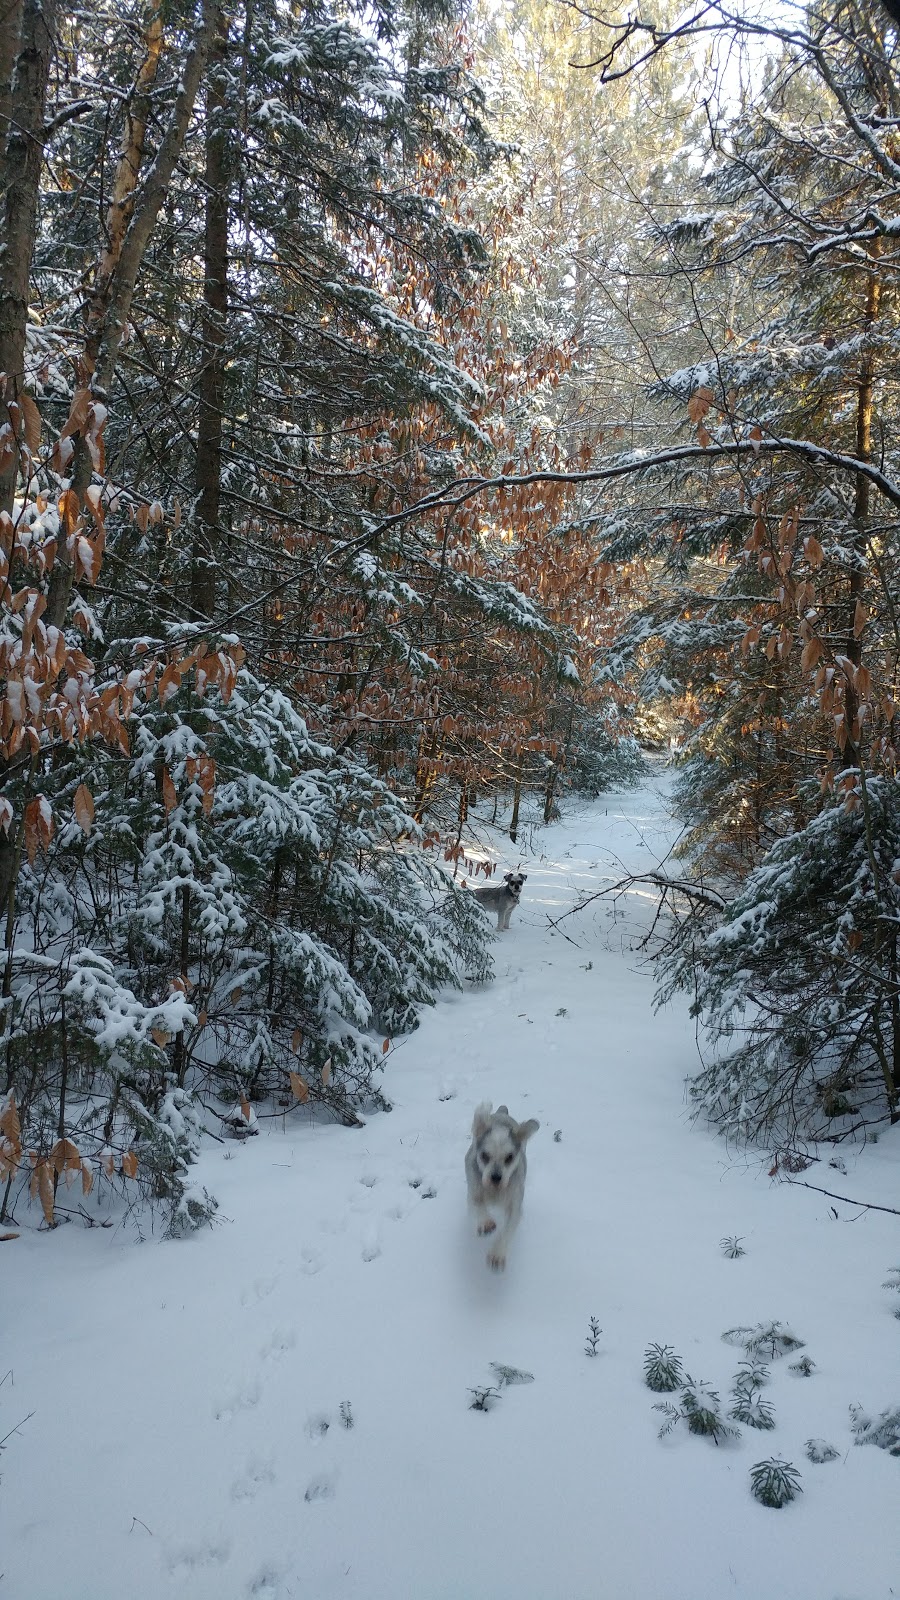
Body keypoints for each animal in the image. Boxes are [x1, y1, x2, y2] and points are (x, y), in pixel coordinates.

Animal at [464, 1107, 534, 1267]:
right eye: (484, 1155)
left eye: (509, 1157)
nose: (496, 1177)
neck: (495, 1191)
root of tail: (502, 1113)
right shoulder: (473, 1190)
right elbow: (478, 1203)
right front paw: (486, 1222)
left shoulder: (514, 1206)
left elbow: (507, 1231)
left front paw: (497, 1254)